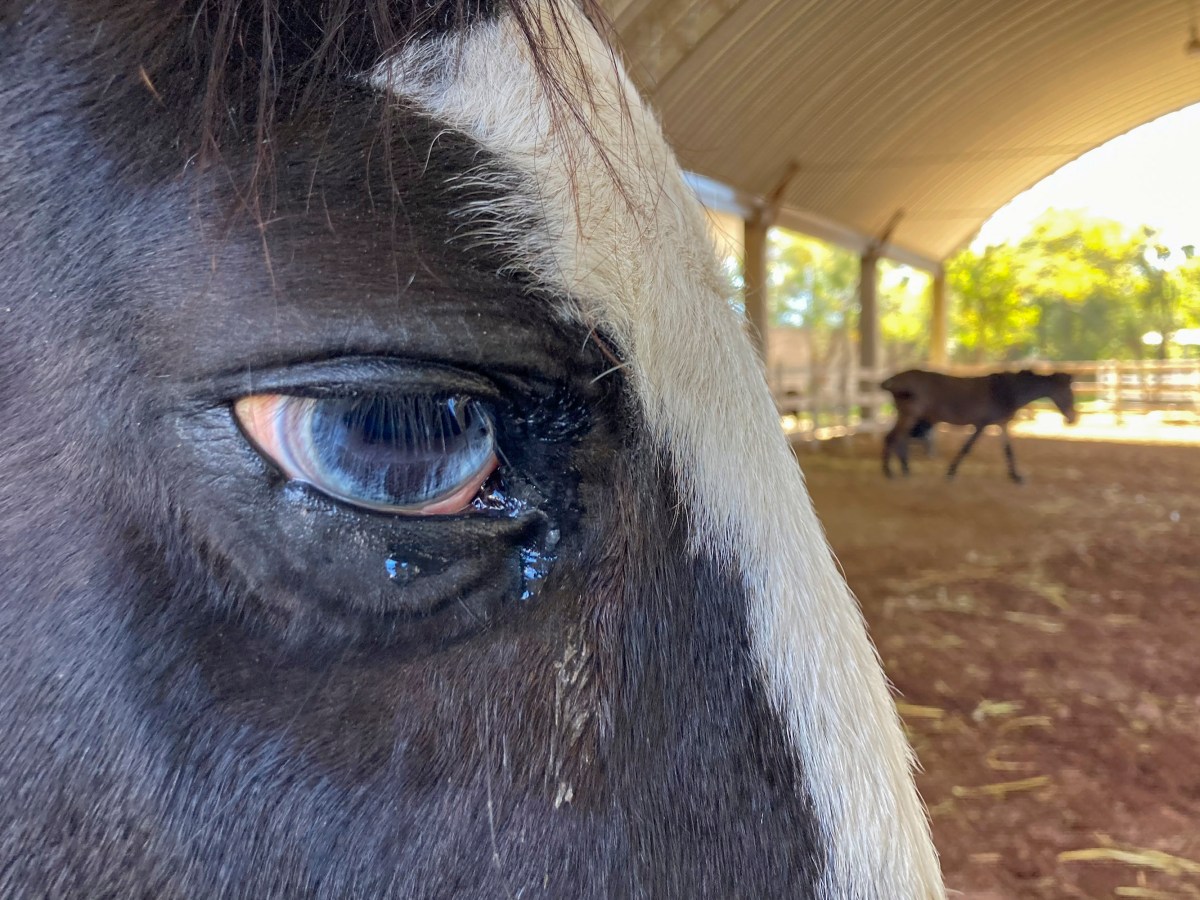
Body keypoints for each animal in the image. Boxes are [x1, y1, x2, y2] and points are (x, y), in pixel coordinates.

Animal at [883, 367, 1080, 482]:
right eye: (1068, 393)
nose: (1072, 419)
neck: (1005, 391)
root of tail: (893, 380)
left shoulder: (1001, 424)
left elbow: (1008, 450)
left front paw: (1015, 476)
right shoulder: (981, 425)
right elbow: (967, 448)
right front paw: (951, 472)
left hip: (908, 417)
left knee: (900, 440)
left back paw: (905, 469)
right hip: (909, 416)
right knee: (892, 438)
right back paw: (889, 472)